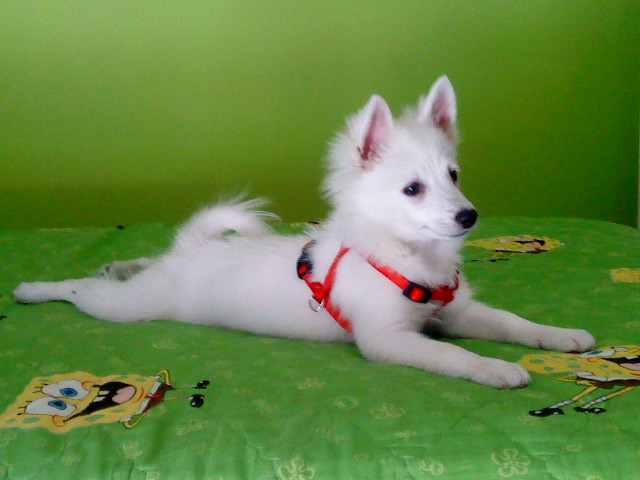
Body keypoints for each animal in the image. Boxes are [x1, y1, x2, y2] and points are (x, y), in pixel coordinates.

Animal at [14, 76, 595, 388]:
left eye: (453, 176)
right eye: (413, 189)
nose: (468, 216)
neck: (408, 258)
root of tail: (192, 251)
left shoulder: (457, 311)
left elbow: (514, 322)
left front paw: (560, 336)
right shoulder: (388, 339)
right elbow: (452, 355)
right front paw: (493, 368)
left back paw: (119, 262)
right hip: (129, 307)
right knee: (81, 290)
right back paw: (33, 288)